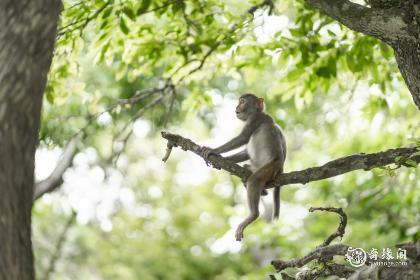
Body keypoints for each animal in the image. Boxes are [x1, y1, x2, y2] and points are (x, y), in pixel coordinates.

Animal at [200, 93, 286, 241]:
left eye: (243, 101)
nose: (236, 107)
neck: (257, 112)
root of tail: (280, 167)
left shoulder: (255, 119)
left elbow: (243, 138)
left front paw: (214, 150)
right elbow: (246, 152)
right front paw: (222, 159)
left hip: (270, 168)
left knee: (254, 180)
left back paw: (253, 215)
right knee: (248, 174)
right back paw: (262, 191)